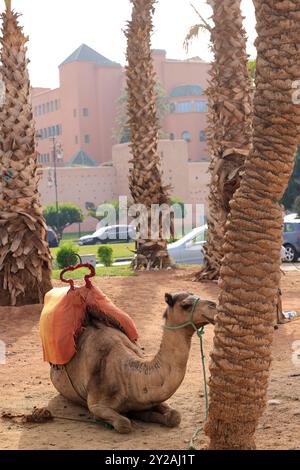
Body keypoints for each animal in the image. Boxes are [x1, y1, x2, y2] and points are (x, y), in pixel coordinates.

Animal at [50, 292, 217, 436]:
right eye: (186, 305)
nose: (214, 304)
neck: (128, 376)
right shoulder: (96, 404)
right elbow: (124, 423)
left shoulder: (151, 398)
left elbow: (175, 416)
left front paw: (145, 415)